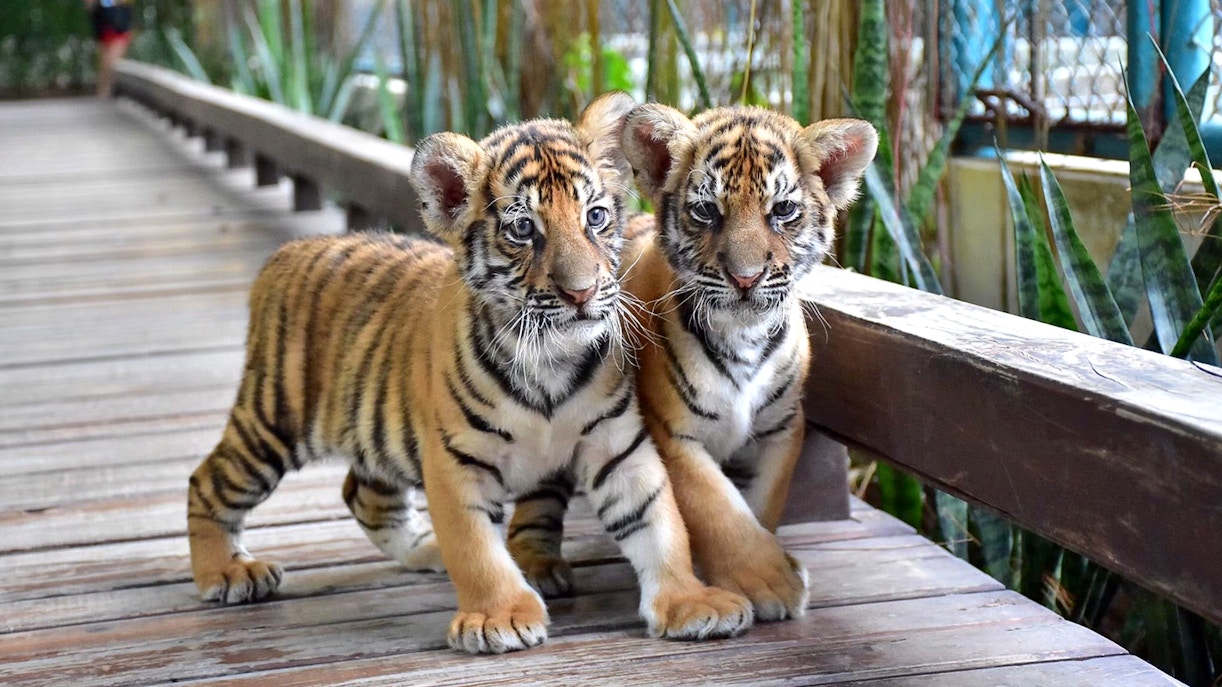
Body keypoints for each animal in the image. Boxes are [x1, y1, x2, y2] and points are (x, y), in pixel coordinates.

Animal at [185, 92, 753, 655]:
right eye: (523, 229)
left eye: (595, 217)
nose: (582, 292)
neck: (551, 361)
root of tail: (283, 253)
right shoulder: (456, 459)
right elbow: (476, 547)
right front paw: (500, 617)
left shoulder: (618, 446)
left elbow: (660, 523)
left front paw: (690, 601)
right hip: (273, 421)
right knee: (209, 480)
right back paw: (227, 572)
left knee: (363, 493)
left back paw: (423, 551)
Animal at [509, 105, 878, 622]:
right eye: (707, 211)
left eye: (782, 211)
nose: (746, 279)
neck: (743, 337)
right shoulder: (672, 431)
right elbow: (717, 509)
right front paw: (770, 583)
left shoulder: (782, 427)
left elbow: (760, 506)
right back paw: (539, 568)